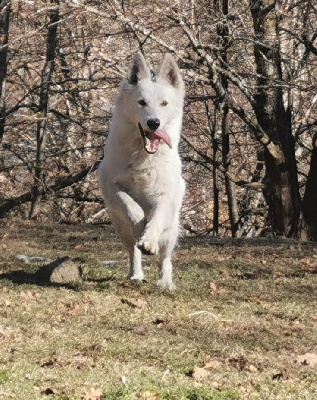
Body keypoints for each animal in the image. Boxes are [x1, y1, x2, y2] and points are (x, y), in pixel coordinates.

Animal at [97, 54, 184, 290]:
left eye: (164, 103)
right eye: (141, 102)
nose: (154, 123)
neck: (143, 156)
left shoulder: (165, 196)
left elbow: (156, 218)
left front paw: (149, 240)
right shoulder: (111, 185)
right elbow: (131, 206)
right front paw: (140, 224)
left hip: (171, 231)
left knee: (165, 258)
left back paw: (165, 282)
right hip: (120, 228)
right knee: (132, 251)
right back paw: (136, 274)